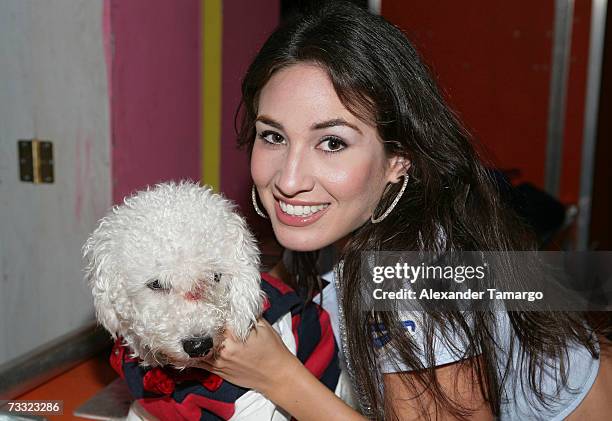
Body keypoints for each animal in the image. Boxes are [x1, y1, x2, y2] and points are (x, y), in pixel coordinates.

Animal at [80, 181, 352, 420]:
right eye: (156, 284)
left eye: (215, 276)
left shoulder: (253, 404)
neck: (176, 379)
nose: (199, 345)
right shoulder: (147, 409)